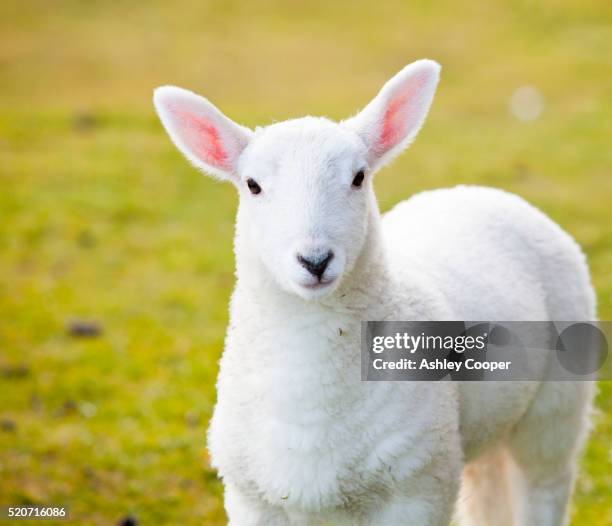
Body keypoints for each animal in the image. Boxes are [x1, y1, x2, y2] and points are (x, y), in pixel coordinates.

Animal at [154, 60, 596, 526]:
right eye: (252, 185)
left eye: (358, 177)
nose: (315, 260)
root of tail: (481, 192)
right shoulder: (252, 497)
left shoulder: (417, 488)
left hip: (556, 407)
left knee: (544, 484)